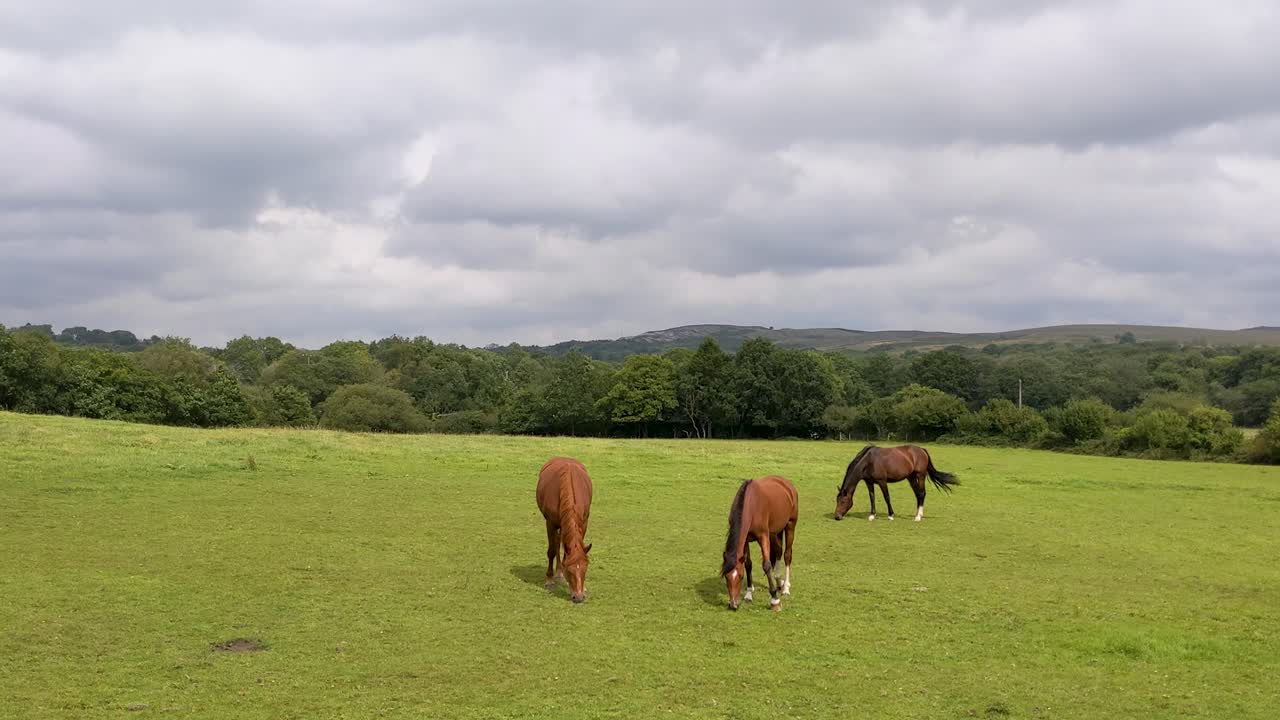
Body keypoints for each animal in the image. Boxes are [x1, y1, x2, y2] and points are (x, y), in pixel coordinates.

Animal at [535, 456, 593, 603]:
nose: (578, 597)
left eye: (585, 568)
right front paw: (549, 580)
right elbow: (551, 551)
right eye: (569, 571)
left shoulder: (583, 522)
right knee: (556, 543)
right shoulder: (550, 523)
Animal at [721, 475, 798, 611]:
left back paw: (785, 588)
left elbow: (766, 565)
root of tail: (786, 483)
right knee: (778, 551)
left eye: (740, 576)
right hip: (775, 532)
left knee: (787, 555)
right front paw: (748, 594)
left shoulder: (763, 537)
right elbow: (748, 564)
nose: (733, 604)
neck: (751, 505)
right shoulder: (746, 539)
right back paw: (779, 581)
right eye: (726, 576)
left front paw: (775, 601)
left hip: (790, 525)